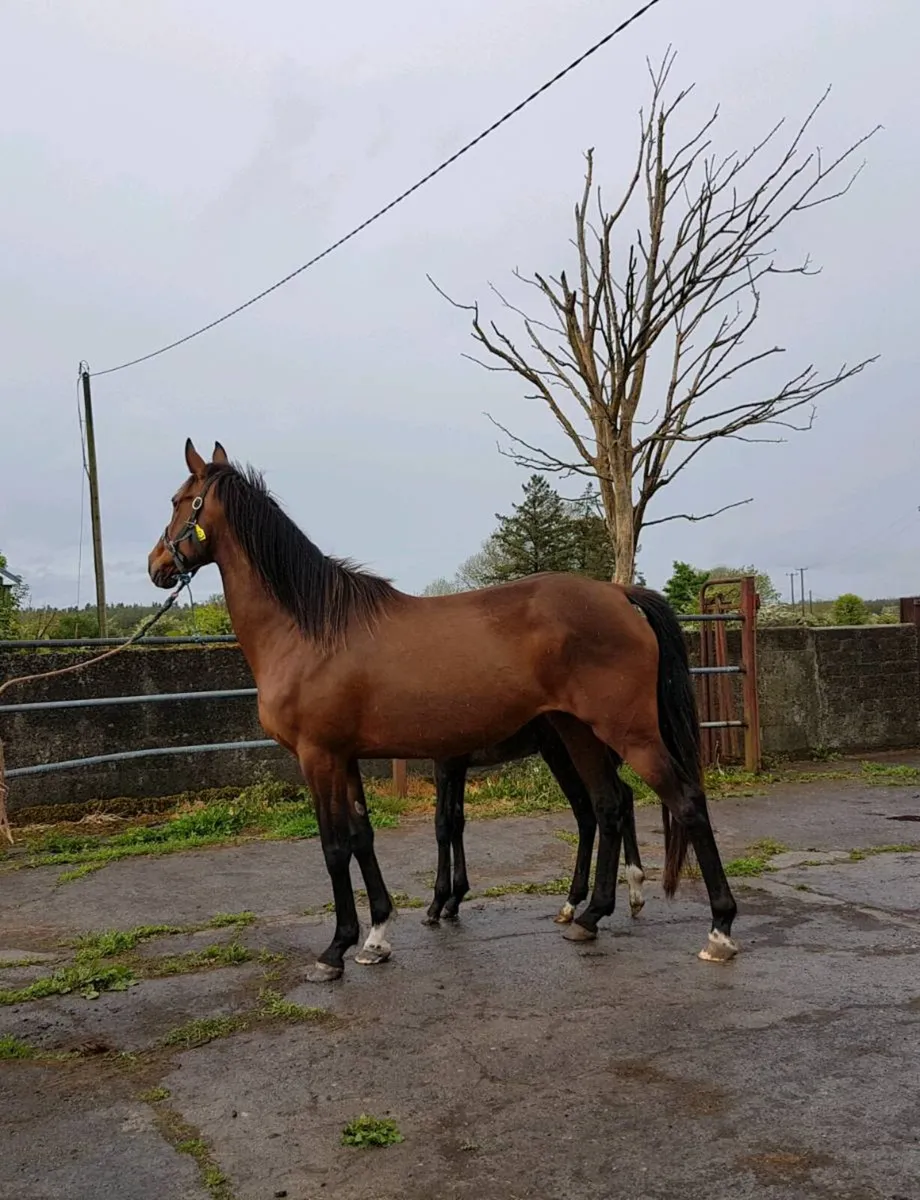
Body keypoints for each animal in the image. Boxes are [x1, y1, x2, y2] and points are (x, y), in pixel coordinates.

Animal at [426, 718, 647, 928]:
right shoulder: (458, 765)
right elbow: (457, 820)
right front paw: (455, 898)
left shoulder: (447, 762)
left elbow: (443, 824)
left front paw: (438, 902)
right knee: (617, 799)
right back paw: (631, 890)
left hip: (563, 754)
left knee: (595, 810)